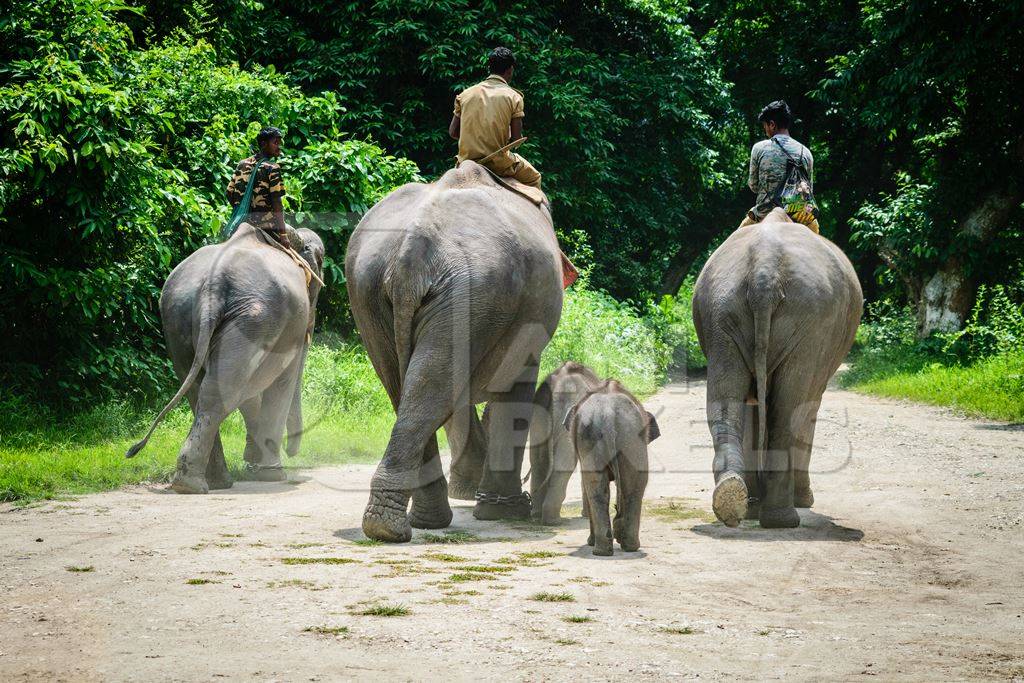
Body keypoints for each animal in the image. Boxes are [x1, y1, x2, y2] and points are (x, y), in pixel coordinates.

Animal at [125, 223, 323, 491]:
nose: (292, 451)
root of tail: (213, 284)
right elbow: (280, 382)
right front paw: (272, 474)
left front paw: (254, 460)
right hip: (252, 319)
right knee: (221, 391)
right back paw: (194, 484)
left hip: (179, 315)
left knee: (200, 390)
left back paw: (211, 482)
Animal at [348, 161, 565, 544]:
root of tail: (409, 253)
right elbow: (514, 386)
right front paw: (502, 512)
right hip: (472, 288)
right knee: (431, 387)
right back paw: (401, 525)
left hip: (374, 292)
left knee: (413, 388)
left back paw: (395, 525)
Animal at [561, 378, 663, 557]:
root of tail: (608, 413)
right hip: (630, 440)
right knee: (632, 488)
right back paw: (626, 546)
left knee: (597, 489)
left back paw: (601, 548)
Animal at [692, 210, 860, 532]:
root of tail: (764, 270)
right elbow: (806, 409)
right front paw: (803, 500)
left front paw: (751, 505)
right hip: (811, 323)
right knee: (790, 412)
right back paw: (781, 519)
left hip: (721, 310)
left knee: (725, 404)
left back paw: (732, 498)